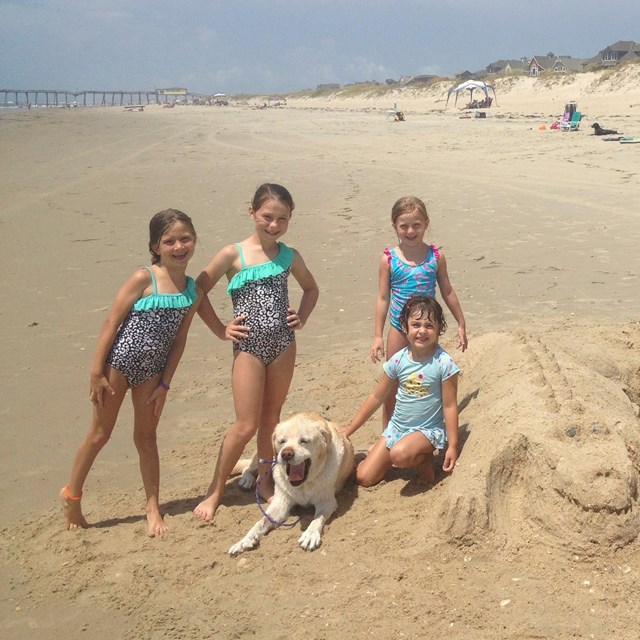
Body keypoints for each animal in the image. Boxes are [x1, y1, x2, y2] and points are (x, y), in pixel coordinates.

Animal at [229, 412, 356, 552]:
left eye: (304, 441)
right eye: (282, 441)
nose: (286, 454)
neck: (303, 485)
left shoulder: (327, 502)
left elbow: (317, 518)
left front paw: (310, 535)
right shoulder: (280, 503)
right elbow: (261, 522)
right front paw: (244, 540)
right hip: (264, 457)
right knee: (248, 467)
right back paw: (247, 479)